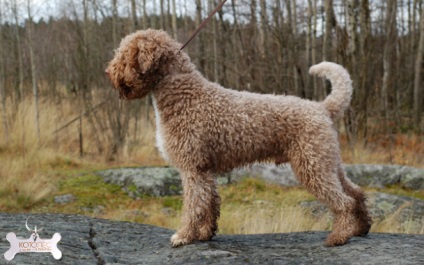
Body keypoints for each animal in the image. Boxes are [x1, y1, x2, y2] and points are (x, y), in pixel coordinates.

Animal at [106, 28, 372, 245]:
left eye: (125, 55)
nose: (108, 71)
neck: (185, 95)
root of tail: (322, 108)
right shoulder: (204, 171)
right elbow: (210, 204)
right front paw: (205, 234)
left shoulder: (192, 169)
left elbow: (194, 206)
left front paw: (184, 236)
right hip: (329, 163)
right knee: (356, 193)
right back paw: (361, 228)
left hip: (313, 167)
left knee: (343, 202)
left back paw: (338, 237)